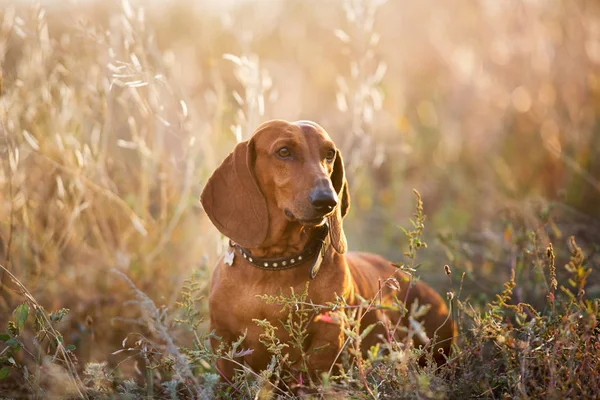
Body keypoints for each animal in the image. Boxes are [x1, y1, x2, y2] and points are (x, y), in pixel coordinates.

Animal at [202, 119, 454, 384]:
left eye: (329, 154)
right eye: (284, 151)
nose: (327, 201)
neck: (276, 265)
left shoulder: (328, 339)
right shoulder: (224, 342)